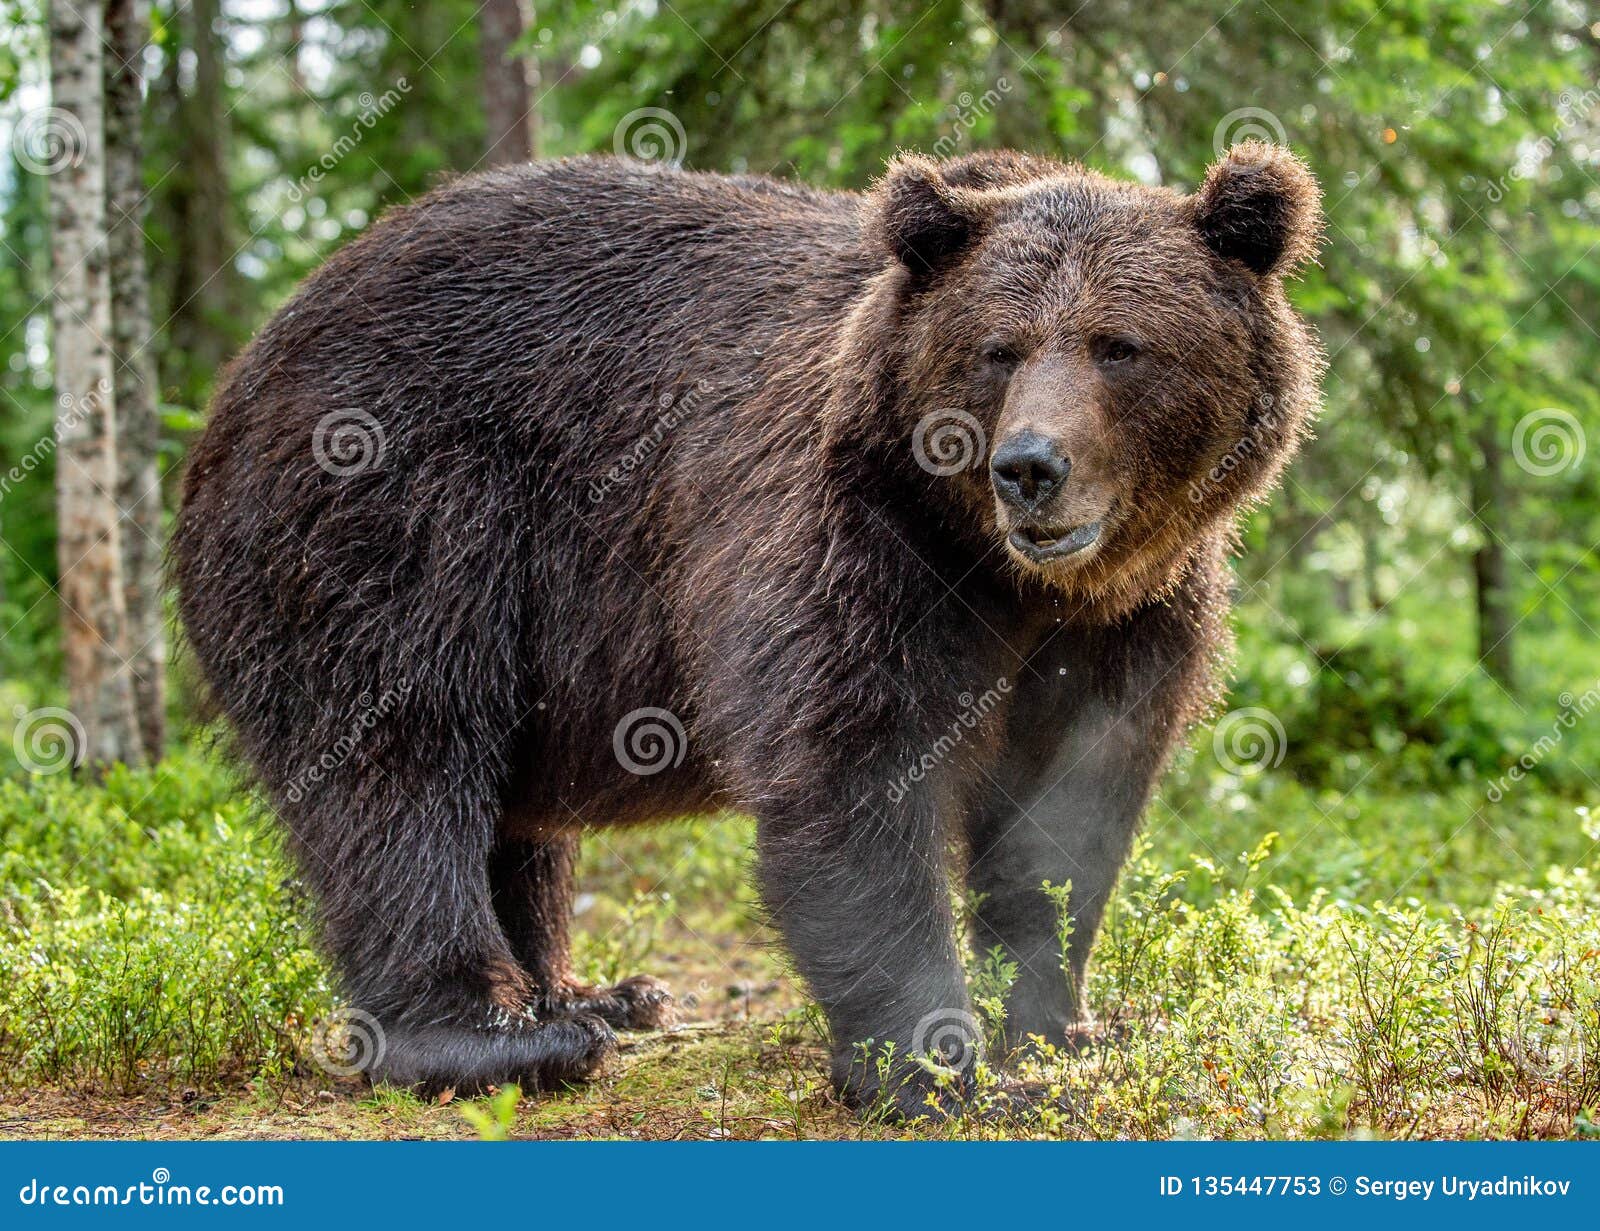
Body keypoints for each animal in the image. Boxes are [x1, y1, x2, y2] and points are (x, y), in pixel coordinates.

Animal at [175, 141, 1324, 1114]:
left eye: (1118, 345)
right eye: (999, 349)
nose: (1030, 466)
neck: (1008, 575)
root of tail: (247, 366)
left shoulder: (1134, 612)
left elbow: (1073, 804)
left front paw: (1061, 1026)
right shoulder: (844, 535)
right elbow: (848, 770)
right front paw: (935, 1065)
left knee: (508, 808)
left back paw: (589, 993)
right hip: (399, 509)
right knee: (401, 759)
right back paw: (498, 1035)